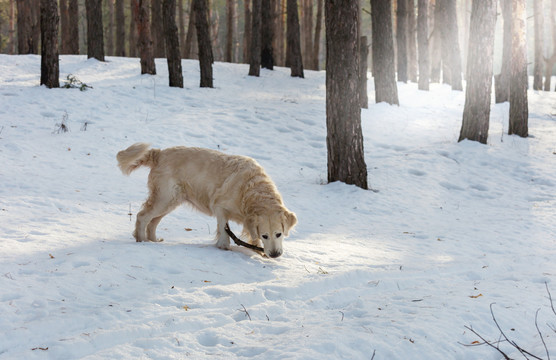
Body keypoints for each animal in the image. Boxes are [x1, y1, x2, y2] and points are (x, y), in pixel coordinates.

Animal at [115, 142, 298, 258]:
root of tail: (159, 153)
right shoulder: (219, 206)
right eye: (266, 235)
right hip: (164, 198)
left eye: (279, 234)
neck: (250, 190)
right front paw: (224, 246)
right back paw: (142, 241)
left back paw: (154, 241)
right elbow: (224, 228)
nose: (275, 255)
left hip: (171, 201)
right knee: (143, 216)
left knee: (152, 221)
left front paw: (258, 250)